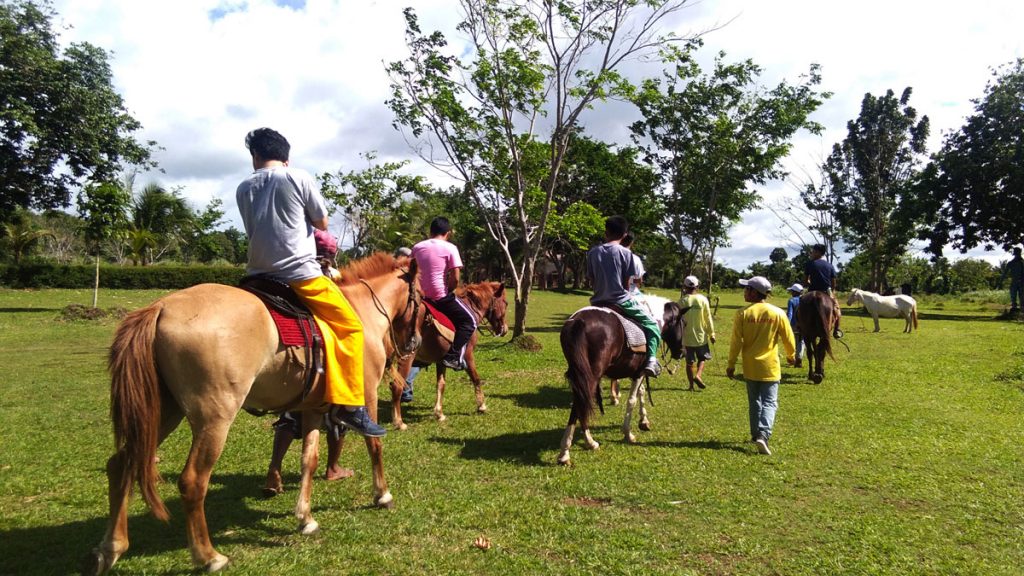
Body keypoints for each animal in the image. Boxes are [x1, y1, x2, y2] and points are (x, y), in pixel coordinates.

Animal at [88, 253, 419, 573]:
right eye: (419, 297)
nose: (413, 342)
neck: (361, 311)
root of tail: (160, 307)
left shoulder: (311, 408)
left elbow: (308, 460)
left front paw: (305, 518)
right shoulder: (367, 394)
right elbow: (374, 445)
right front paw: (382, 494)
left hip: (164, 413)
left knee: (121, 465)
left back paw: (111, 547)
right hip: (214, 419)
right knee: (192, 481)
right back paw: (208, 556)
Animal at [387, 280, 507, 428]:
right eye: (506, 303)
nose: (505, 330)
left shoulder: (441, 360)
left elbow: (441, 384)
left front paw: (439, 413)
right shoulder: (468, 355)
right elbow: (476, 378)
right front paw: (482, 406)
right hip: (407, 356)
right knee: (396, 386)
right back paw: (399, 422)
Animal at [557, 293, 684, 463]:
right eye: (684, 324)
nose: (682, 352)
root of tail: (579, 321)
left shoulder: (636, 372)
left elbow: (641, 392)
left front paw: (644, 421)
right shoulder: (638, 373)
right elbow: (632, 400)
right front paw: (628, 433)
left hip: (579, 374)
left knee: (580, 403)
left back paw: (583, 444)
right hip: (591, 376)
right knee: (580, 404)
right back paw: (572, 449)